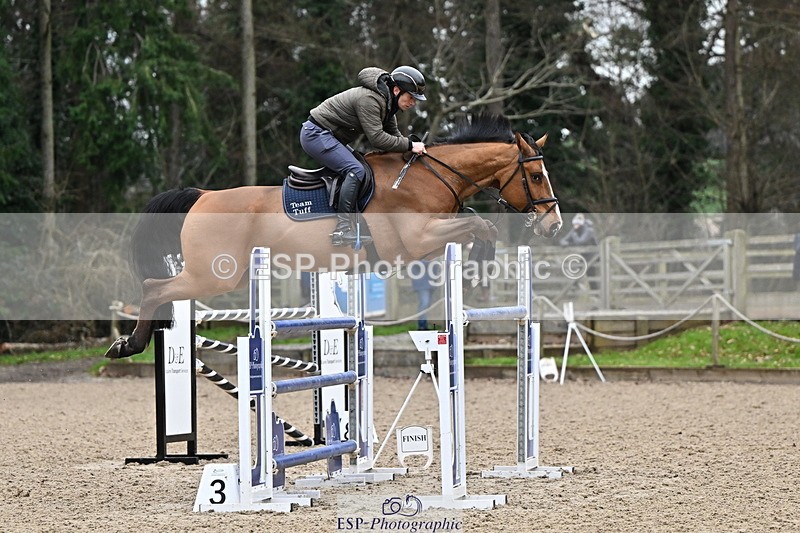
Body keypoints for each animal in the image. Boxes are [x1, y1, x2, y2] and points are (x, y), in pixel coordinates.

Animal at [105, 113, 562, 359]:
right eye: (537, 176)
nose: (553, 224)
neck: (432, 176)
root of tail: (202, 196)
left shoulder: (427, 245)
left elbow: (475, 225)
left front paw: (480, 261)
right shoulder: (415, 240)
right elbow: (479, 224)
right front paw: (483, 261)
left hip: (228, 274)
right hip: (214, 275)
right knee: (154, 286)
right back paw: (129, 345)